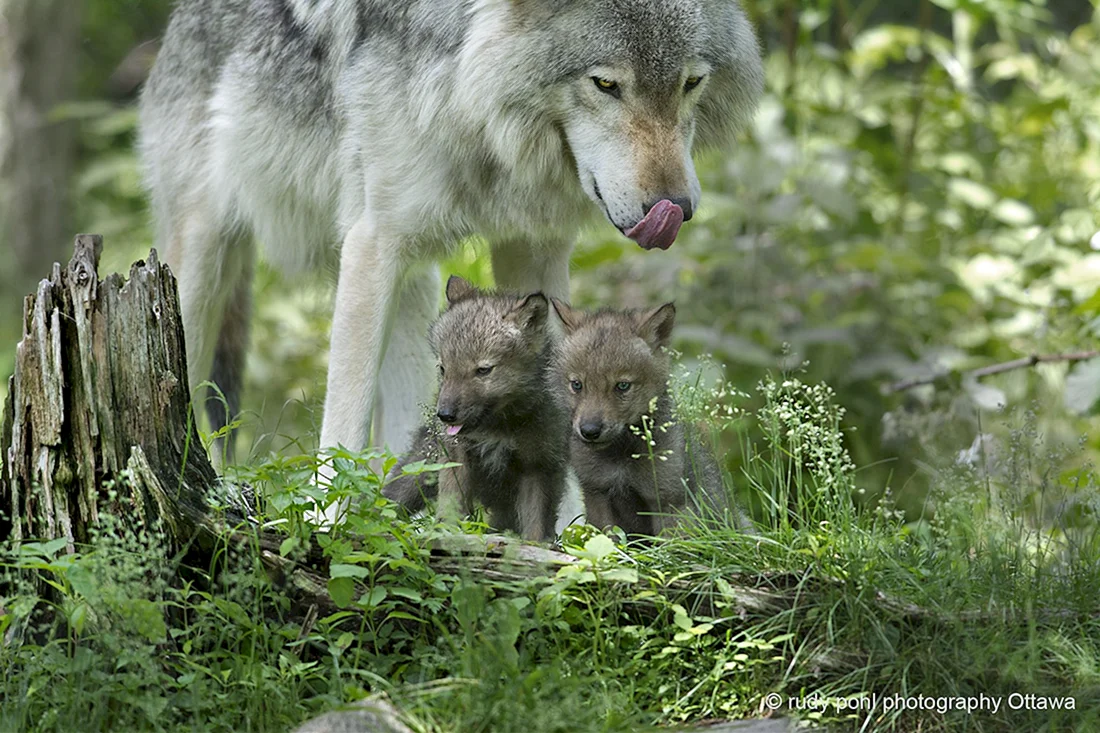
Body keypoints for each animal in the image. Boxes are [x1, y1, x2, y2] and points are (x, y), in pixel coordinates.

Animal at [137, 1, 761, 462]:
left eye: (691, 82)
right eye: (606, 84)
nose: (677, 208)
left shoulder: (532, 248)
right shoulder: (372, 243)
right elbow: (341, 429)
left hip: (418, 288)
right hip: (199, 268)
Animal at [382, 274, 567, 537]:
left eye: (483, 370)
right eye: (443, 368)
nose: (445, 415)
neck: (498, 429)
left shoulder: (537, 467)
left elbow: (535, 527)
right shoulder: (456, 456)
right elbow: (451, 506)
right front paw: (446, 534)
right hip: (418, 471)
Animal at [550, 299, 748, 534]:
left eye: (622, 386)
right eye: (577, 384)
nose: (589, 430)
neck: (620, 459)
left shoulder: (668, 500)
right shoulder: (597, 494)